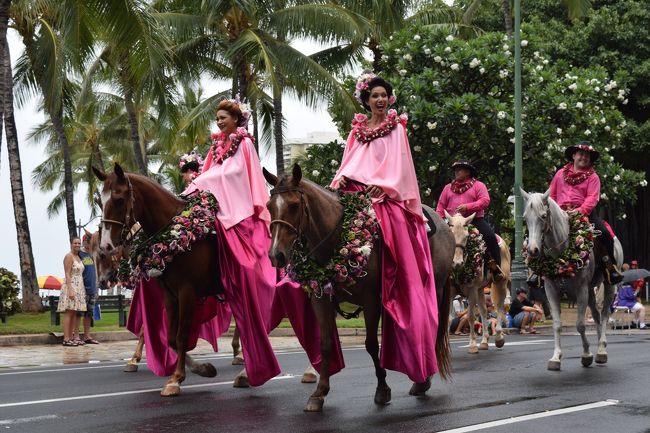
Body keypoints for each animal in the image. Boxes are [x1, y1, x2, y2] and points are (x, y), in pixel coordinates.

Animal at [92, 162, 221, 394]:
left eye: (119, 199)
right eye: (99, 201)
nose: (106, 244)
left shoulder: (187, 293)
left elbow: (180, 335)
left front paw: (175, 379)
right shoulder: (168, 294)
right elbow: (169, 337)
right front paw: (200, 368)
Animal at [260, 165, 454, 412]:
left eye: (294, 206)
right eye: (269, 206)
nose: (276, 255)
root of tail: (442, 222)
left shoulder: (371, 300)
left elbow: (371, 344)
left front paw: (382, 389)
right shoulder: (320, 300)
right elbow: (325, 345)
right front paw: (319, 393)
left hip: (435, 289)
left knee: (432, 326)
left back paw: (422, 380)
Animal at [442, 211, 508, 352]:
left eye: (467, 236)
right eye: (450, 234)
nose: (457, 263)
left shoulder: (472, 290)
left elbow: (470, 316)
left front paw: (472, 344)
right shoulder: (451, 292)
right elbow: (448, 319)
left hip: (501, 283)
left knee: (500, 306)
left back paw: (499, 337)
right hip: (481, 289)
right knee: (484, 310)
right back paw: (484, 341)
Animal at [520, 187, 616, 370]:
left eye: (544, 216)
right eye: (525, 218)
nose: (533, 250)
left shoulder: (581, 290)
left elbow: (580, 325)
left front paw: (586, 354)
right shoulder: (551, 290)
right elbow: (557, 325)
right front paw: (556, 357)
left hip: (608, 285)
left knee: (605, 314)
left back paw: (601, 350)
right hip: (591, 291)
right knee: (596, 314)